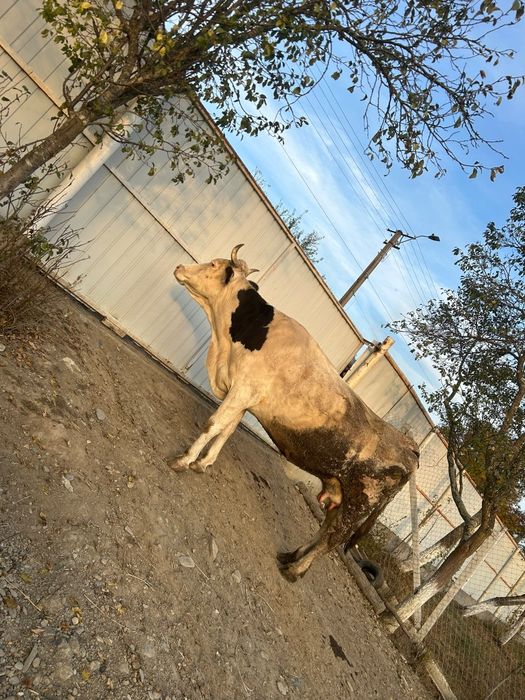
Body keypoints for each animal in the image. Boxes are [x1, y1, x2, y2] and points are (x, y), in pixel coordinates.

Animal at [168, 244, 419, 582]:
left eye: (213, 265)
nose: (179, 267)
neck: (226, 342)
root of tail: (410, 447)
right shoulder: (244, 396)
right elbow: (227, 429)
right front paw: (204, 463)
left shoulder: (242, 390)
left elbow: (213, 424)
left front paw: (184, 460)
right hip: (340, 493)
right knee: (325, 529)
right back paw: (291, 555)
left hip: (359, 502)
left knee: (332, 540)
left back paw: (295, 570)